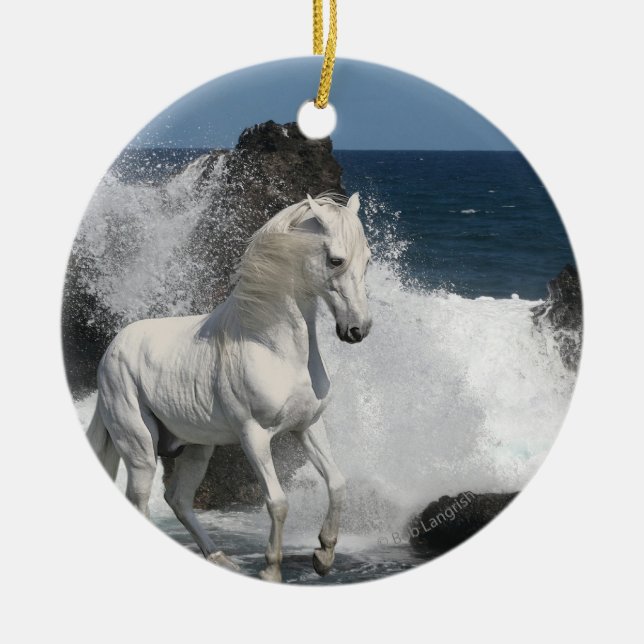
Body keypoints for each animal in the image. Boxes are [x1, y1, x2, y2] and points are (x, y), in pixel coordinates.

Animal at [86, 193, 372, 582]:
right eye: (336, 260)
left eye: (368, 259)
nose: (358, 330)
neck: (272, 345)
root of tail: (111, 350)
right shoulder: (254, 436)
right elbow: (278, 502)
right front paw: (271, 571)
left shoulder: (308, 427)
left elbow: (338, 483)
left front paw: (323, 555)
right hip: (140, 450)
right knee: (141, 500)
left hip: (196, 448)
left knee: (178, 499)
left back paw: (221, 559)